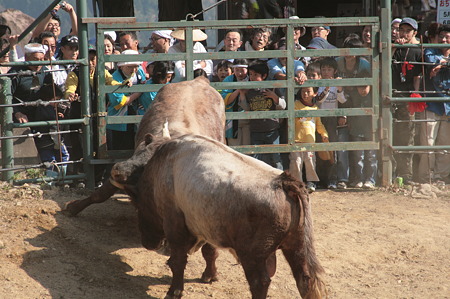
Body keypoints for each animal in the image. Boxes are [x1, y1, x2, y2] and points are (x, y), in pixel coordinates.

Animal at [128, 134, 326, 299]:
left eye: (137, 205)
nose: (148, 243)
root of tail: (285, 182)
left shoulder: (174, 225)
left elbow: (177, 261)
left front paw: (173, 292)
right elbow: (209, 252)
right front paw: (209, 276)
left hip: (252, 255)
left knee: (260, 282)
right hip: (297, 246)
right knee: (305, 280)